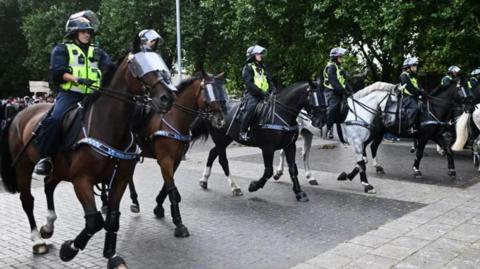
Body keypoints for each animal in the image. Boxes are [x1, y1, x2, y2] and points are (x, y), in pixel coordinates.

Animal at [0, 36, 176, 268]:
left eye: (161, 62)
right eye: (138, 65)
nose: (168, 97)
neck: (108, 127)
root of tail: (20, 114)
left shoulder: (119, 179)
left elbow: (112, 218)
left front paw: (111, 255)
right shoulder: (82, 180)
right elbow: (94, 221)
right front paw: (69, 250)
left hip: (60, 169)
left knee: (48, 185)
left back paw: (48, 227)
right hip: (23, 166)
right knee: (27, 200)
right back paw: (38, 239)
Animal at [191, 81, 326, 201]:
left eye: (324, 95)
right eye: (314, 96)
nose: (321, 121)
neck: (280, 114)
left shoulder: (290, 146)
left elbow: (293, 168)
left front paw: (299, 192)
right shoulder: (267, 148)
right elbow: (268, 171)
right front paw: (254, 186)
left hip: (226, 139)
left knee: (212, 153)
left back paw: (204, 180)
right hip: (220, 139)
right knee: (222, 160)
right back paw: (235, 187)